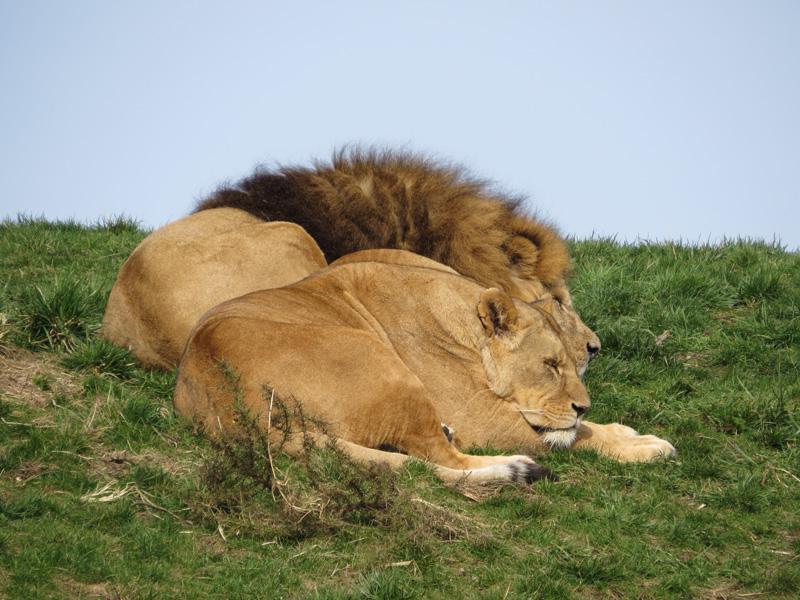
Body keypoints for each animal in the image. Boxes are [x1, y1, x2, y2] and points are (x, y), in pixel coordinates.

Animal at [175, 261, 675, 484]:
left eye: (574, 363)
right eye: (550, 365)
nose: (582, 404)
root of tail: (232, 411)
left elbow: (587, 430)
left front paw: (624, 430)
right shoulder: (483, 420)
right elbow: (576, 437)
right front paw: (644, 447)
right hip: (385, 366)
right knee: (440, 460)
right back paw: (515, 467)